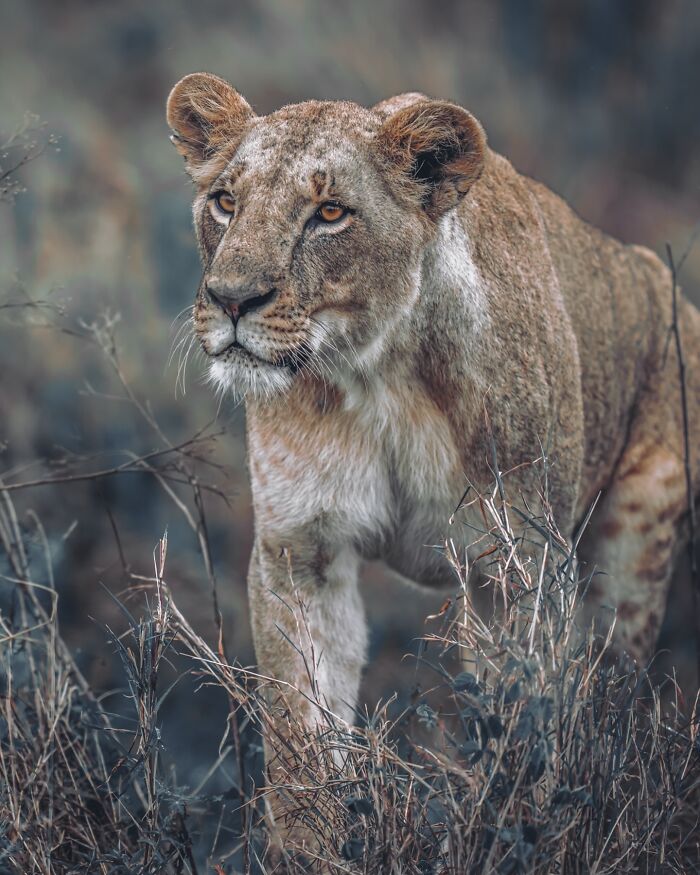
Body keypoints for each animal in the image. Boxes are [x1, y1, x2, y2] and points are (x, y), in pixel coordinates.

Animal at [166, 72, 700, 852]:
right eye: (226, 202)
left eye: (330, 213)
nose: (232, 299)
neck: (376, 374)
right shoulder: (299, 552)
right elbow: (300, 738)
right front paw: (311, 845)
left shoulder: (520, 566)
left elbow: (521, 730)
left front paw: (509, 832)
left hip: (636, 545)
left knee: (609, 701)